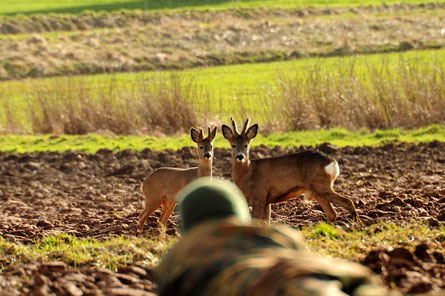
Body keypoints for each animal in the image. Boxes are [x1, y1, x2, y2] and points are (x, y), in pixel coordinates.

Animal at [220, 117, 360, 223]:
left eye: (246, 145)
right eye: (233, 145)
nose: (240, 156)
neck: (247, 174)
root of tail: (332, 162)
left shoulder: (259, 195)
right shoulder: (267, 200)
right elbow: (266, 222)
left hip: (321, 185)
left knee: (347, 201)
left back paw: (357, 224)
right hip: (316, 189)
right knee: (332, 213)